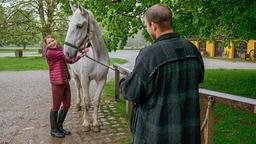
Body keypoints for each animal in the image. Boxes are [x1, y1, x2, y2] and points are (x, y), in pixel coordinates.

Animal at [64, 4, 109, 132]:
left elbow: (96, 100)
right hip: (76, 76)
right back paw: (78, 105)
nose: (67, 52)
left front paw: (96, 124)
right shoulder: (85, 79)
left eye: (79, 26)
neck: (97, 56)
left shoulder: (102, 80)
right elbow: (86, 100)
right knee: (78, 88)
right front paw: (86, 124)